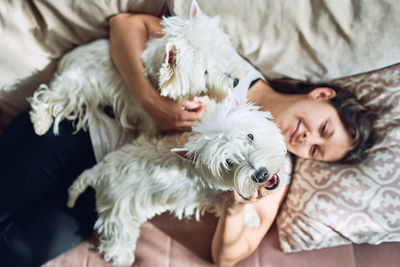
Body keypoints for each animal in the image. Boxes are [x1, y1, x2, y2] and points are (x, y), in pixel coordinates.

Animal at [28, 0, 247, 137]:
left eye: (219, 50)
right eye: (205, 71)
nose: (235, 81)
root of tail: (68, 57)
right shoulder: (148, 122)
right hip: (77, 85)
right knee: (49, 96)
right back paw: (40, 124)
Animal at [67, 101, 290, 267]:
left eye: (250, 136)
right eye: (227, 162)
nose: (261, 174)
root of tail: (99, 172)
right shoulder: (219, 196)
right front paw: (252, 218)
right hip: (119, 214)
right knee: (115, 242)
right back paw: (124, 259)